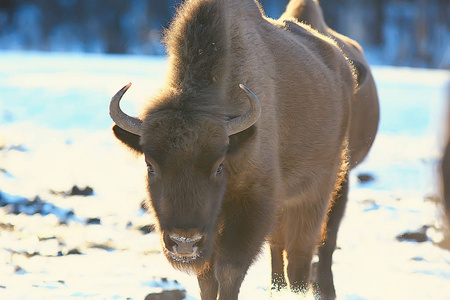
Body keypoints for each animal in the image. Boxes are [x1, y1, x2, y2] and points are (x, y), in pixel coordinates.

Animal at [110, 0, 378, 300]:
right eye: (150, 166)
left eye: (218, 166)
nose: (184, 241)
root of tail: (345, 68)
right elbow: (207, 278)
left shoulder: (254, 204)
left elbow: (229, 269)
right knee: (282, 249)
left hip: (317, 193)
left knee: (300, 257)